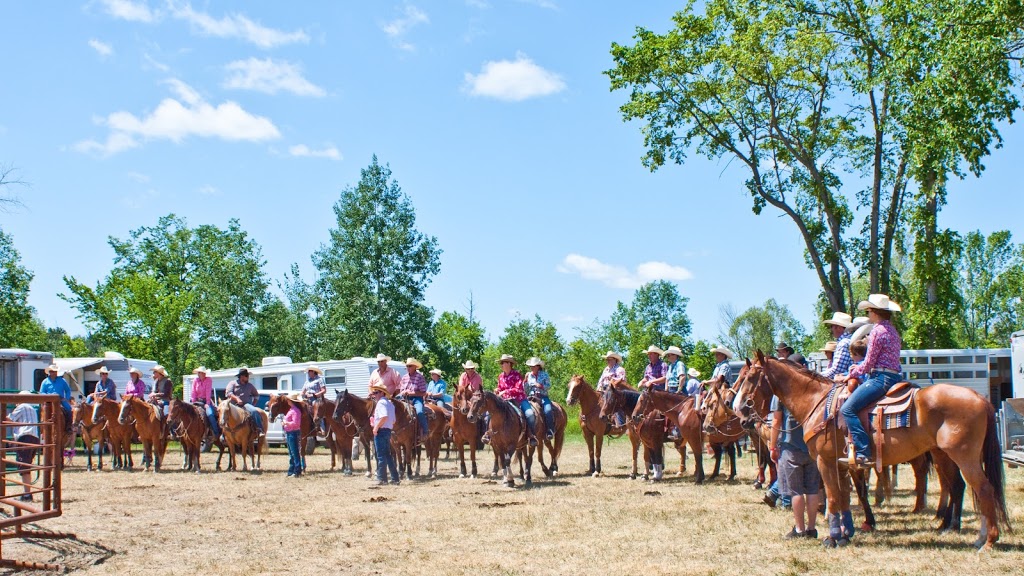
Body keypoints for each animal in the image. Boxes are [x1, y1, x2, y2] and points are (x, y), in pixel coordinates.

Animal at [737, 352, 1007, 549]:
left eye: (750, 377)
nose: (740, 411)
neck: (817, 402)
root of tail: (980, 398)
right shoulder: (841, 464)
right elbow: (845, 496)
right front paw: (846, 533)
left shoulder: (825, 461)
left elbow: (833, 497)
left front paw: (832, 537)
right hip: (946, 455)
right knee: (961, 487)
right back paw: (959, 530)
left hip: (963, 456)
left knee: (983, 489)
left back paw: (988, 540)